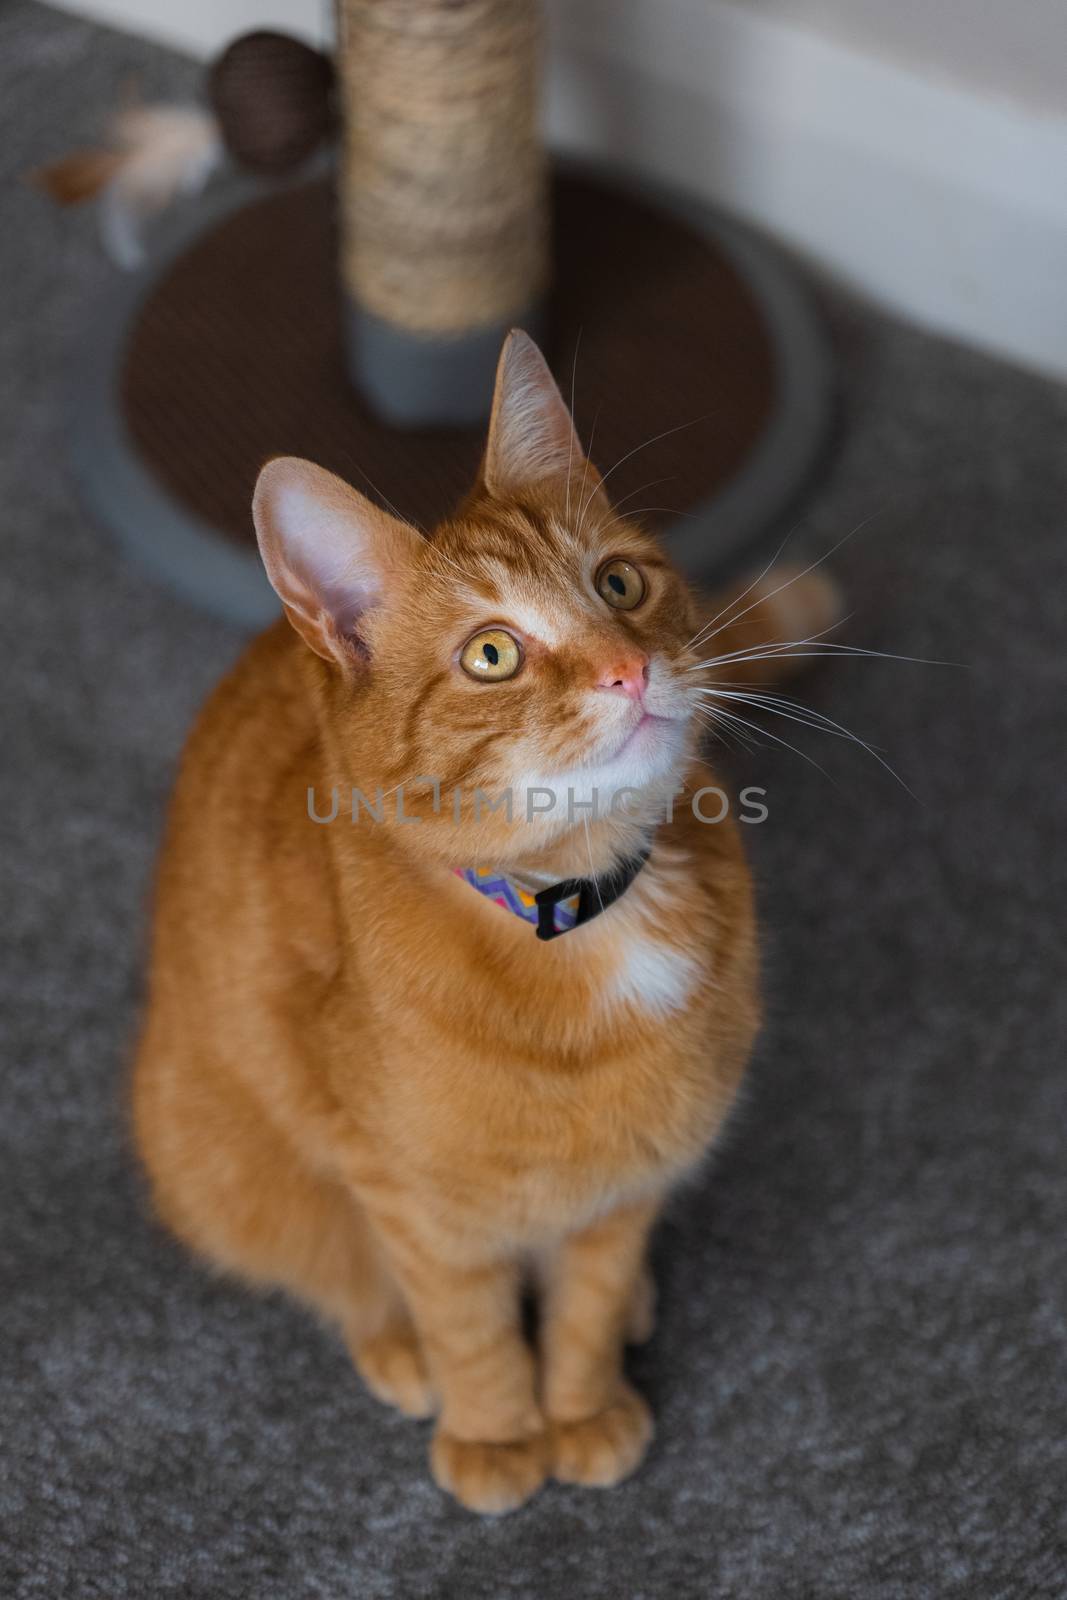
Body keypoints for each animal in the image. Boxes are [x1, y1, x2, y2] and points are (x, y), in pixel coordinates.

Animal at [133, 328, 831, 1510]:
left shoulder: (630, 1178)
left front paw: (582, 1405)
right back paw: (396, 1349)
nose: (628, 668)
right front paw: (500, 1433)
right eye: (492, 654)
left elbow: (585, 1302)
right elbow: (468, 1323)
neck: (583, 912)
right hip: (214, 1162)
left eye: (617, 582)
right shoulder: (416, 1203)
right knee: (341, 1275)